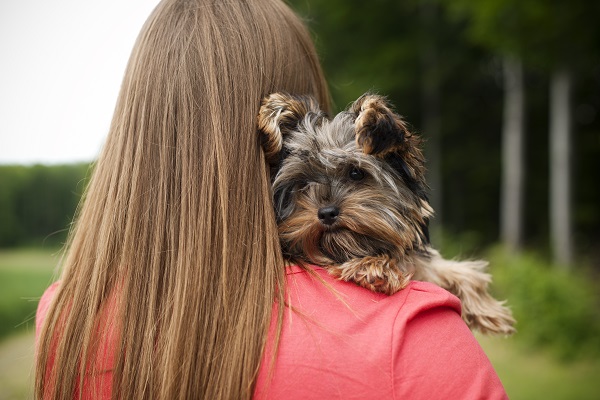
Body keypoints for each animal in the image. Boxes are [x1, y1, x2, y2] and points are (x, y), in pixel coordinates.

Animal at [258, 91, 516, 334]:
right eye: (302, 183)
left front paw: (488, 310)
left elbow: (460, 273)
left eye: (356, 173)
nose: (326, 212)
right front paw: (373, 268)